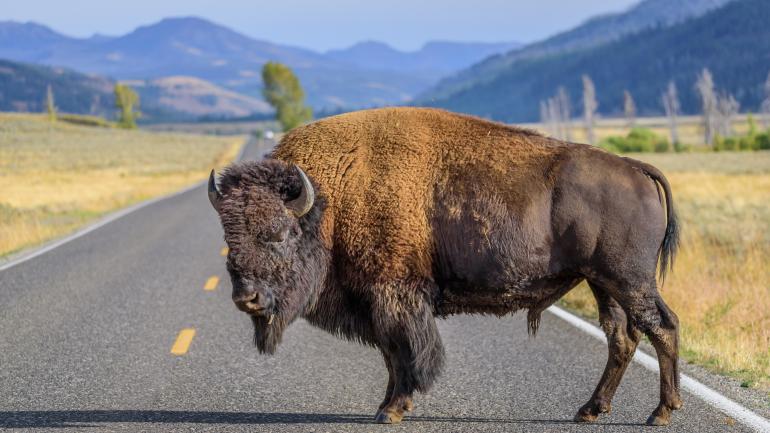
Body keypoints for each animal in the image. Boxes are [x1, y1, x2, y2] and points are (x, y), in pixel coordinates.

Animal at [208, 107, 681, 426]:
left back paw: (661, 412)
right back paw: (590, 410)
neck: (332, 196)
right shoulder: (378, 301)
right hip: (603, 283)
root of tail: (635, 168)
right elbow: (391, 354)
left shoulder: (395, 295)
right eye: (230, 237)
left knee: (661, 327)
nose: (246, 297)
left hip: (629, 280)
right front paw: (387, 405)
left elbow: (406, 351)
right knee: (622, 337)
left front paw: (392, 409)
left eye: (279, 233)